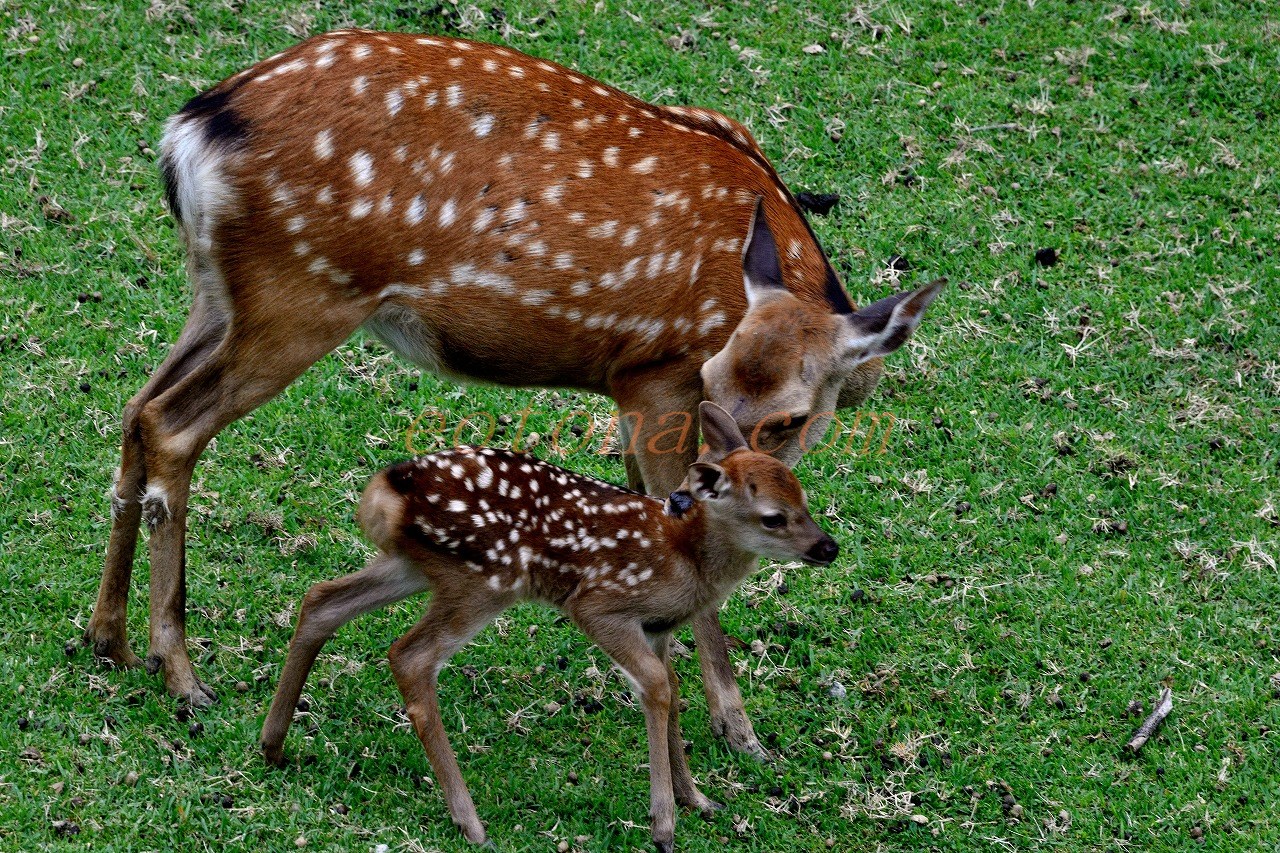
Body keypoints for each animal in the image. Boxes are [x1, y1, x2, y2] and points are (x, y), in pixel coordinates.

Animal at [86, 29, 944, 758]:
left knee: (135, 409)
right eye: (712, 379)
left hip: (219, 292)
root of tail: (191, 132)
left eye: (790, 418)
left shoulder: (636, 393)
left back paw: (109, 639)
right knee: (171, 424)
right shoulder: (655, 375)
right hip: (300, 295)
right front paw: (739, 731)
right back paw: (181, 672)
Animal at [260, 402, 839, 851]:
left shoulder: (659, 627)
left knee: (321, 600)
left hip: (416, 565)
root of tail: (387, 490)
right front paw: (663, 826)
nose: (827, 547)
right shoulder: (600, 603)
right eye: (772, 516)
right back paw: (471, 824)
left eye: (804, 498)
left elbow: (673, 689)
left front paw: (696, 798)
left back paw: (273, 746)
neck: (685, 559)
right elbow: (656, 686)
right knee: (409, 655)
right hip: (485, 579)